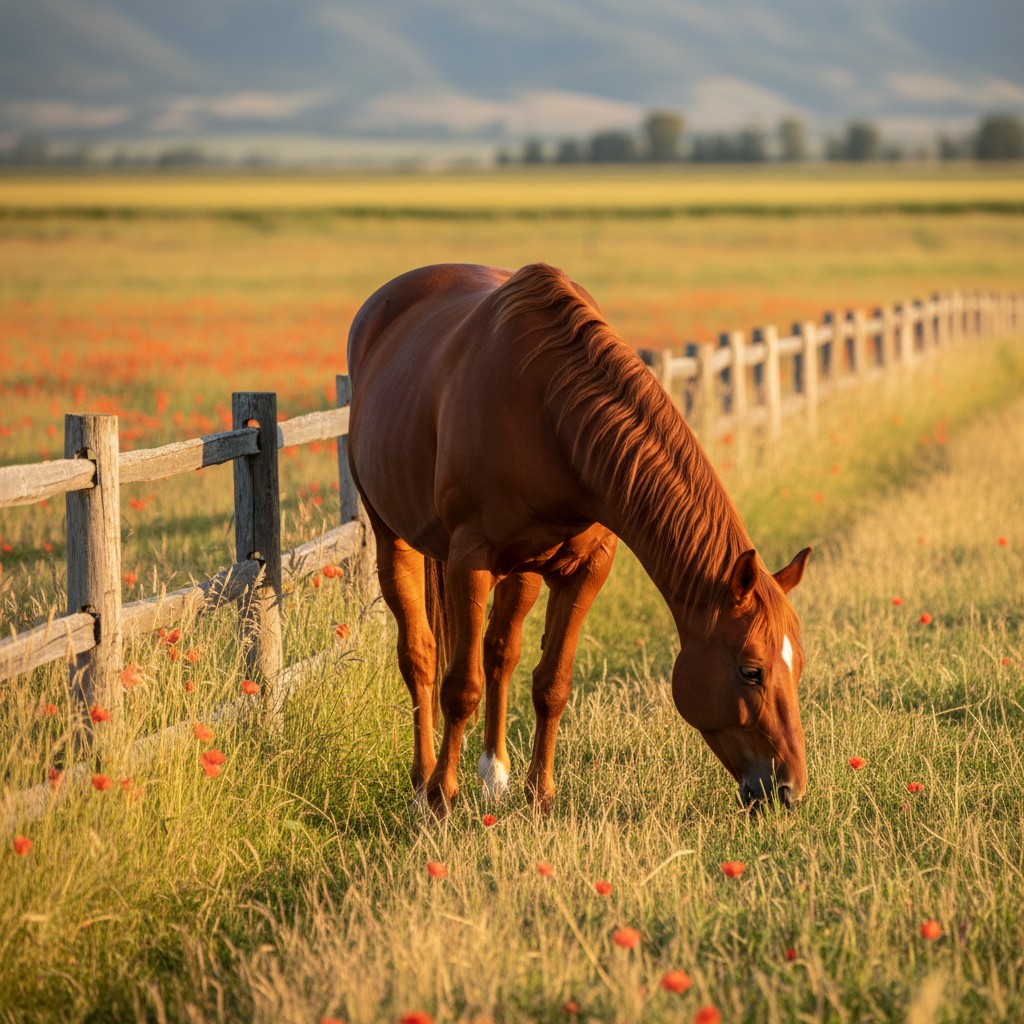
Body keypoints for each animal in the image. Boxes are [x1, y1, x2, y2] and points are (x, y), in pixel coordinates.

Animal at [346, 262, 811, 816]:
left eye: (798, 666)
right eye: (750, 671)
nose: (790, 789)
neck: (548, 412)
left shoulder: (587, 569)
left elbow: (553, 684)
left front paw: (540, 798)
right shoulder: (469, 562)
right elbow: (460, 687)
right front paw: (441, 798)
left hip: (524, 570)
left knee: (501, 653)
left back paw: (494, 774)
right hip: (393, 538)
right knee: (419, 656)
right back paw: (422, 784)